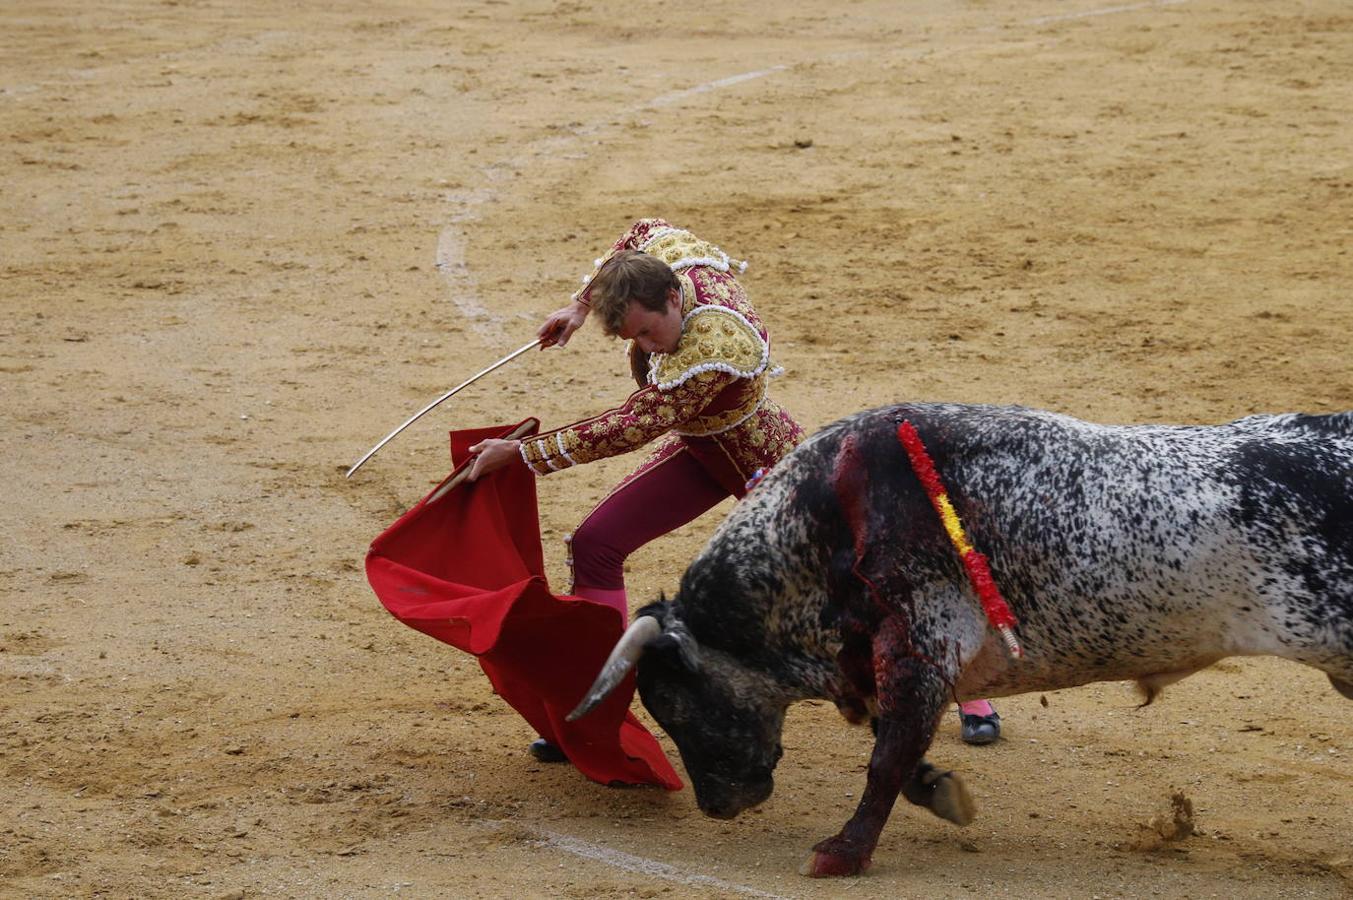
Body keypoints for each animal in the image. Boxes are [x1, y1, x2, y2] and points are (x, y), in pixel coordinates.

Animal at [568, 400, 1353, 876]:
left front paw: (840, 854)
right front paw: (940, 793)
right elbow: (894, 745)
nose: (716, 806)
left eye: (674, 705)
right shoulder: (898, 661)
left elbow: (884, 758)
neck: (825, 524)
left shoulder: (922, 646)